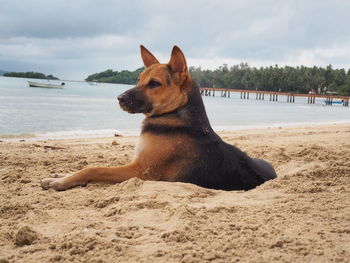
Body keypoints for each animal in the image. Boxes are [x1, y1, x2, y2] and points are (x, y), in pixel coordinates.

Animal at [41, 46, 276, 192]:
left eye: (154, 83)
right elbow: (90, 167)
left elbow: (93, 169)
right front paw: (59, 175)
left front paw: (60, 182)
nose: (119, 98)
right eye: (138, 79)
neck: (175, 116)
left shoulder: (139, 171)